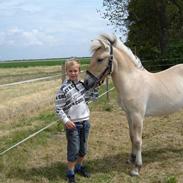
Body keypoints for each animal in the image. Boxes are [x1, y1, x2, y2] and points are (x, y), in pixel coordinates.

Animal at [83, 33, 183, 177]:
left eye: (100, 59)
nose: (86, 83)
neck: (132, 81)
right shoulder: (128, 114)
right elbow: (131, 136)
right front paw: (132, 158)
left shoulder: (137, 116)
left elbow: (137, 139)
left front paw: (137, 168)